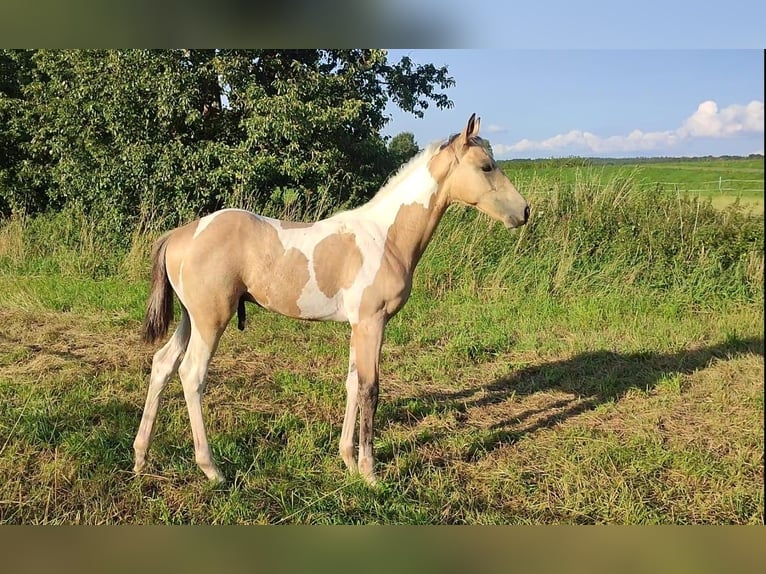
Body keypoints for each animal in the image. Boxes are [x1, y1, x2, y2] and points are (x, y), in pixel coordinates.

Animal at [135, 115, 532, 484]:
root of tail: (180, 234)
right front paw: (370, 473)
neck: (385, 237)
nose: (524, 211)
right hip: (210, 319)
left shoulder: (360, 325)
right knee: (191, 374)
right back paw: (211, 469)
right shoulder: (372, 322)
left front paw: (348, 461)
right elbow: (371, 390)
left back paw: (140, 457)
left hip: (190, 318)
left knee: (163, 363)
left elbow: (353, 385)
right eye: (486, 166)